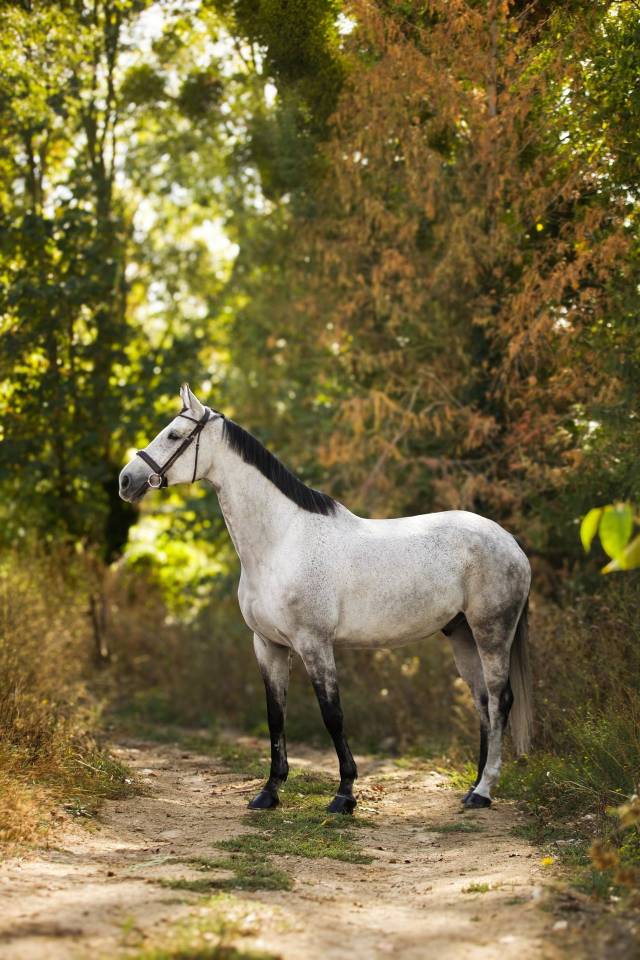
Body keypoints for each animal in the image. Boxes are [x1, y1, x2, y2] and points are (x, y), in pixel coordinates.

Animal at [119, 384, 532, 814]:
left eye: (173, 435)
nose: (126, 481)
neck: (280, 542)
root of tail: (509, 541)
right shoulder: (267, 645)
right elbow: (275, 715)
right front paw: (268, 792)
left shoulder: (314, 643)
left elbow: (332, 714)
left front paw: (344, 795)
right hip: (462, 634)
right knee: (482, 703)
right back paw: (473, 788)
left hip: (491, 633)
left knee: (500, 700)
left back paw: (484, 790)